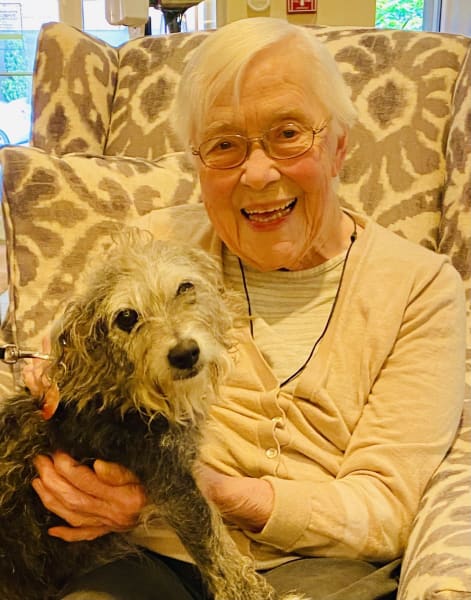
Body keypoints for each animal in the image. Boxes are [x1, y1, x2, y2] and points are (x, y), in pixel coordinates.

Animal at [0, 232, 306, 600]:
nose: (185, 353)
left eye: (185, 287)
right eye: (126, 317)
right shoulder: (174, 484)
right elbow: (218, 549)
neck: (129, 392)